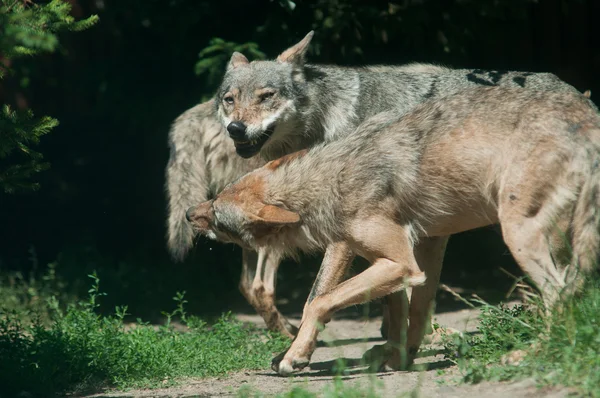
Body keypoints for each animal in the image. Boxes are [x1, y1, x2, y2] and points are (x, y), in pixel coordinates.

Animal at [166, 29, 592, 338]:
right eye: (230, 99)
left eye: (266, 96)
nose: (235, 128)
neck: (329, 119)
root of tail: (581, 96)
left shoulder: (344, 232)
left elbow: (319, 294)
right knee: (254, 286)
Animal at [188, 87, 600, 376]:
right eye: (217, 198)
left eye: (218, 216)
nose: (191, 212)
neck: (332, 179)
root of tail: (588, 117)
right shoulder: (413, 258)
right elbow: (406, 316)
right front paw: (398, 359)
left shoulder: (399, 263)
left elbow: (319, 301)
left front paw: (295, 358)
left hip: (518, 236)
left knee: (559, 296)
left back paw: (530, 353)